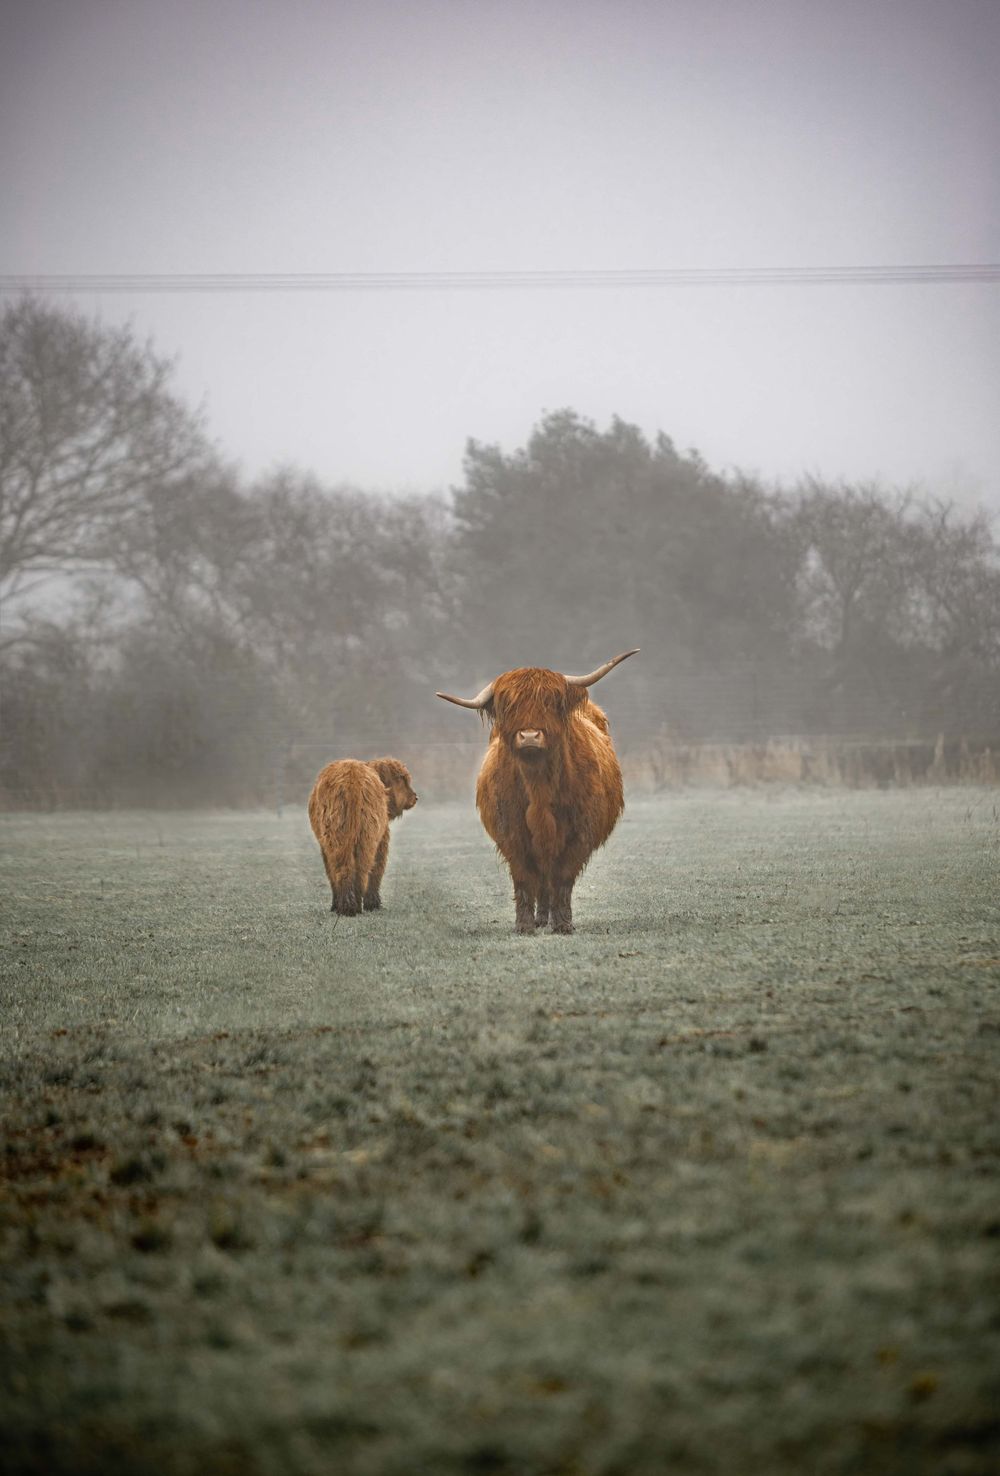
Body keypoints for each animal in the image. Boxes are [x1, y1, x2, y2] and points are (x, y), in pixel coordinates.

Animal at [307, 756, 417, 915]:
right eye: (401, 779)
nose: (415, 797)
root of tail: (352, 777)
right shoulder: (382, 839)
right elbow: (377, 869)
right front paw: (374, 904)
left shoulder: (324, 846)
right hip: (367, 836)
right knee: (362, 868)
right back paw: (356, 905)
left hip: (338, 838)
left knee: (342, 869)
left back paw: (346, 906)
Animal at [437, 650, 638, 934]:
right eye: (508, 705)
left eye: (551, 701)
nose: (530, 736)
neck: (539, 788)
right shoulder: (512, 834)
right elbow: (524, 879)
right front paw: (524, 925)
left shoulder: (578, 835)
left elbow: (562, 879)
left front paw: (563, 923)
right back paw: (541, 918)